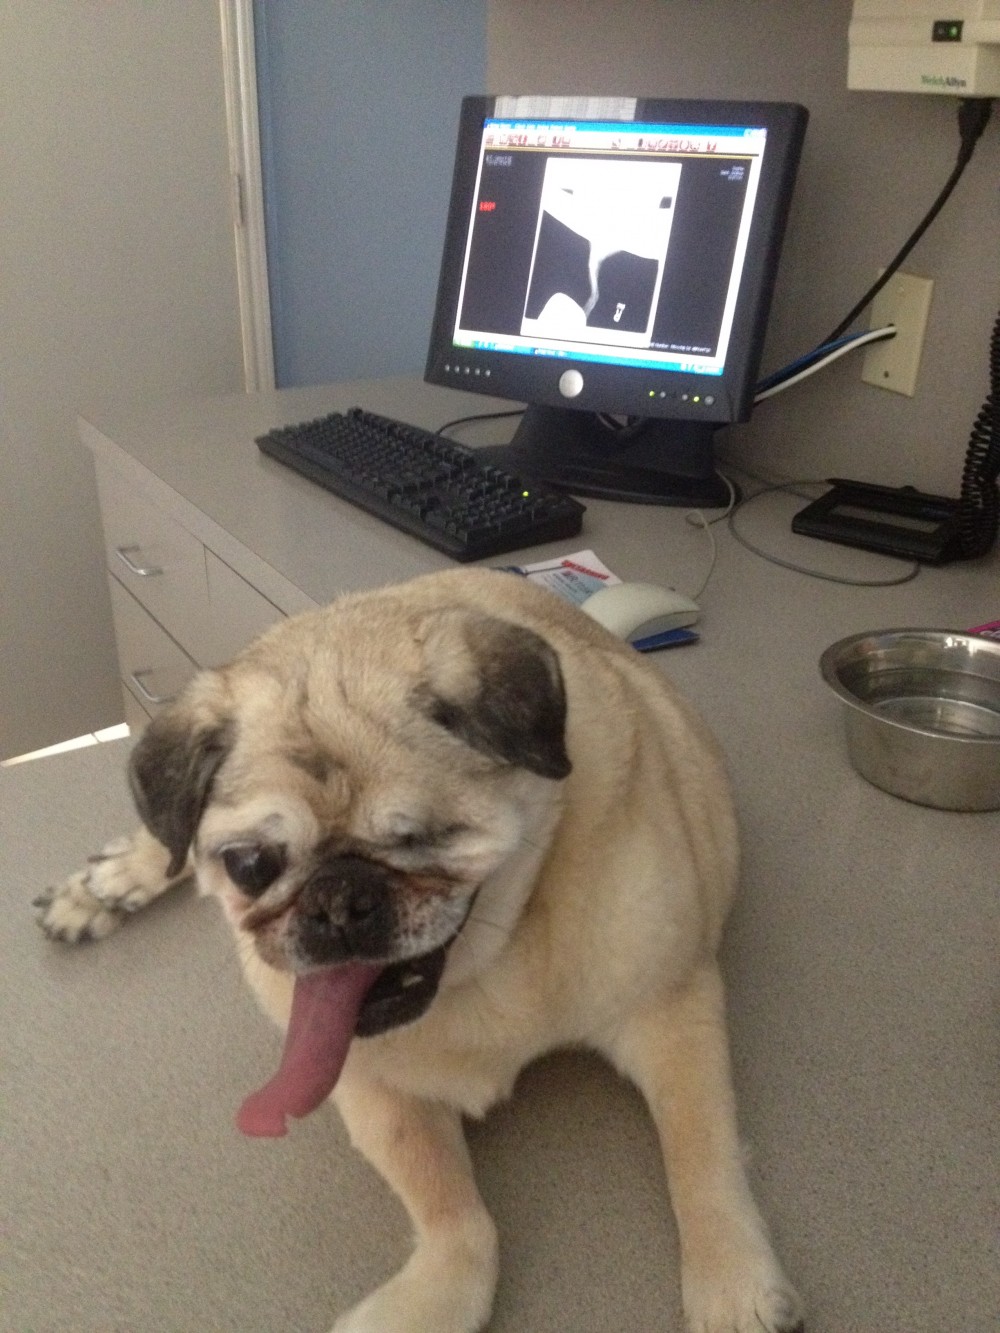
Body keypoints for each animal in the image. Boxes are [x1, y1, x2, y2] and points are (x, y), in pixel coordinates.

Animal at [35, 566, 802, 1333]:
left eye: (422, 840)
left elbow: (701, 1154)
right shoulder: (370, 1087)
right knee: (170, 845)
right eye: (251, 864)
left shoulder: (672, 1010)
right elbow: (454, 1215)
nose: (337, 897)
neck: (494, 961)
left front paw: (731, 1280)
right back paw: (105, 886)